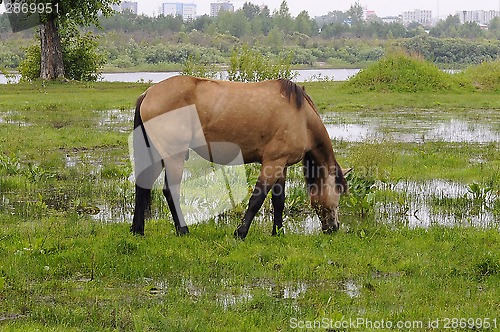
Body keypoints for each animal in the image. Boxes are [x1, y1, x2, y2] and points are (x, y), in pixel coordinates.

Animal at [131, 75, 350, 239]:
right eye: (338, 192)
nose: (334, 227)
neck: (301, 117)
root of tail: (148, 93)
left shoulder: (282, 164)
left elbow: (278, 200)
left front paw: (278, 232)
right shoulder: (272, 163)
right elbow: (257, 199)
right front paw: (240, 233)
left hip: (156, 155)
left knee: (143, 187)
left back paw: (137, 230)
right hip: (173, 156)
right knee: (171, 191)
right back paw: (183, 230)